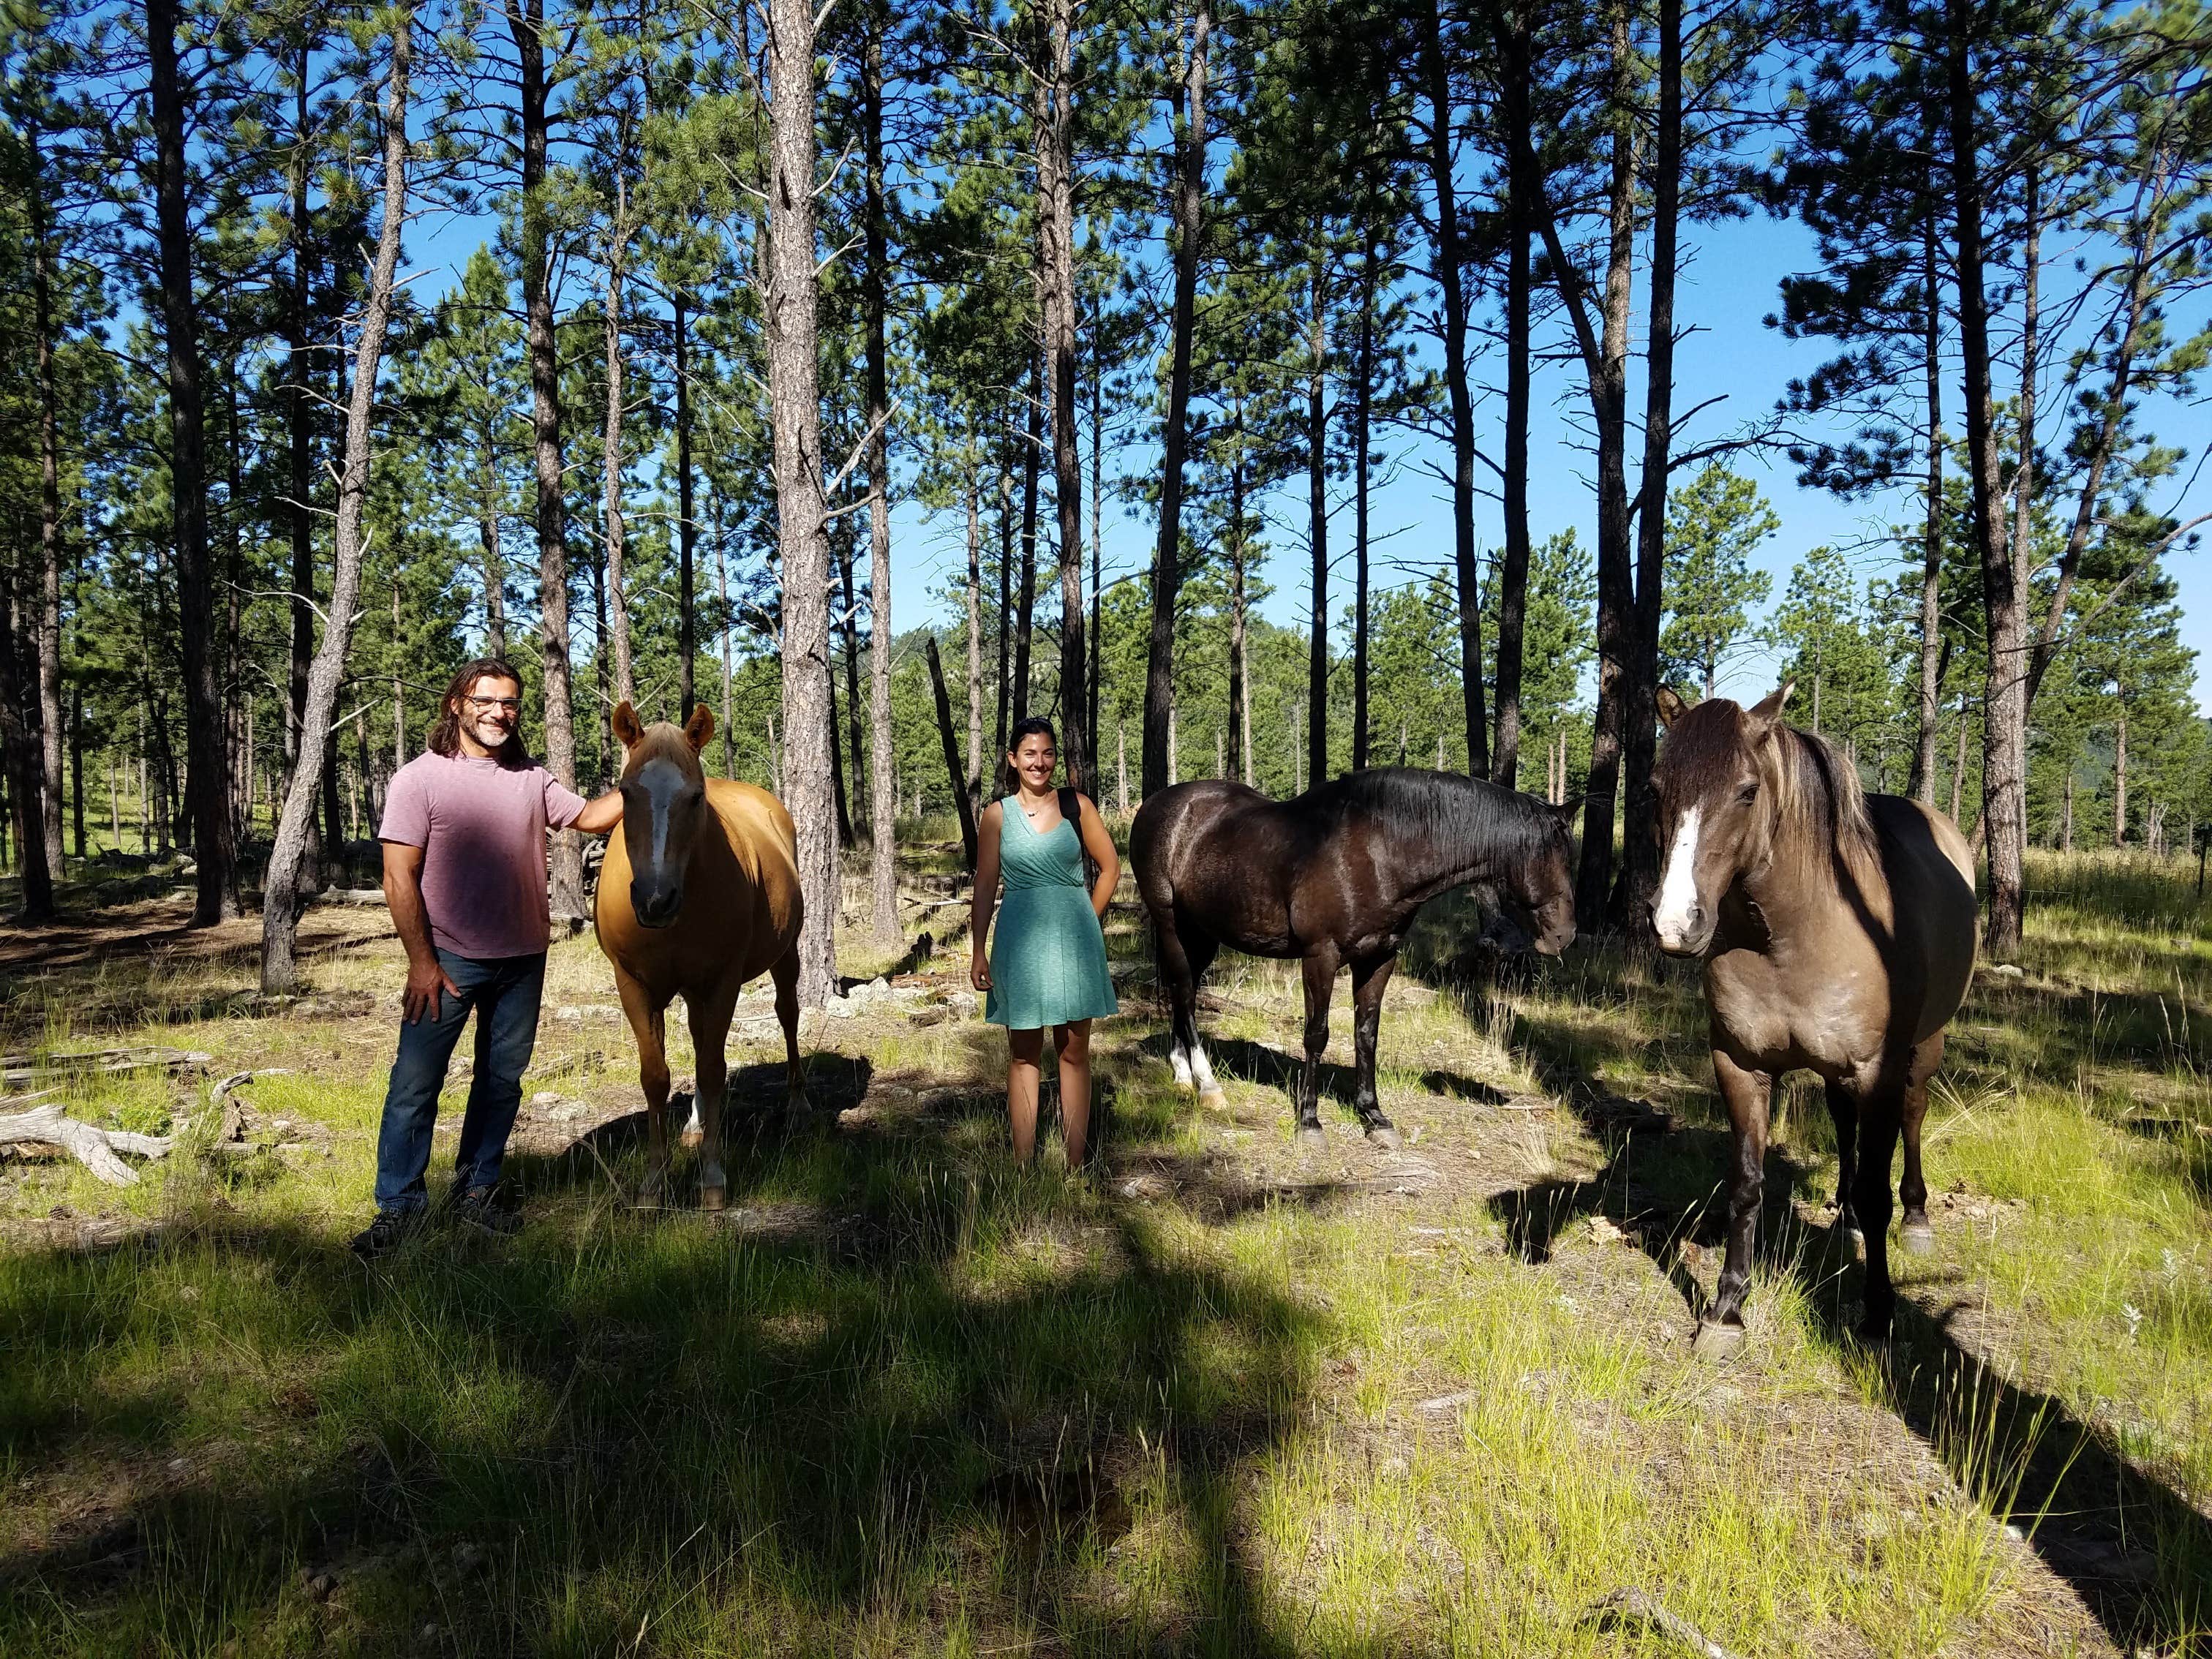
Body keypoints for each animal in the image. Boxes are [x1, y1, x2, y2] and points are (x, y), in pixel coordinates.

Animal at [596, 701, 808, 1209]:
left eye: (695, 797)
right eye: (625, 793)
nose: (655, 901)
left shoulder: (723, 982)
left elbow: (712, 1071)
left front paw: (712, 1179)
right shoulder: (635, 985)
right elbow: (656, 1076)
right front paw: (654, 1183)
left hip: (785, 955)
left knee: (788, 1014)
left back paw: (797, 1104)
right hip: (692, 990)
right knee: (696, 1039)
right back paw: (696, 1124)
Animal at [1131, 769, 1578, 1148]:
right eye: (1548, 855)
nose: (1565, 935)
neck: (1378, 853)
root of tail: (1158, 804)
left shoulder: (1379, 958)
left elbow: (1367, 1035)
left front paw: (1375, 1118)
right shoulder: (1321, 957)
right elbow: (1317, 1035)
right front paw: (1309, 1122)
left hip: (1202, 935)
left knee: (1182, 993)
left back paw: (1182, 1073)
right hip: (1170, 925)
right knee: (1185, 994)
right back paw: (1207, 1085)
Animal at [1649, 683, 1977, 1353]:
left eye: (1748, 791)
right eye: (1653, 787)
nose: (1675, 925)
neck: (1793, 934)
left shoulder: (1877, 1070)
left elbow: (1878, 1189)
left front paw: (1877, 1317)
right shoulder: (1739, 1064)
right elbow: (1747, 1184)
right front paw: (1726, 1310)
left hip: (1923, 1049)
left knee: (1912, 1118)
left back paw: (1917, 1217)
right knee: (1844, 1126)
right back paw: (1845, 1216)